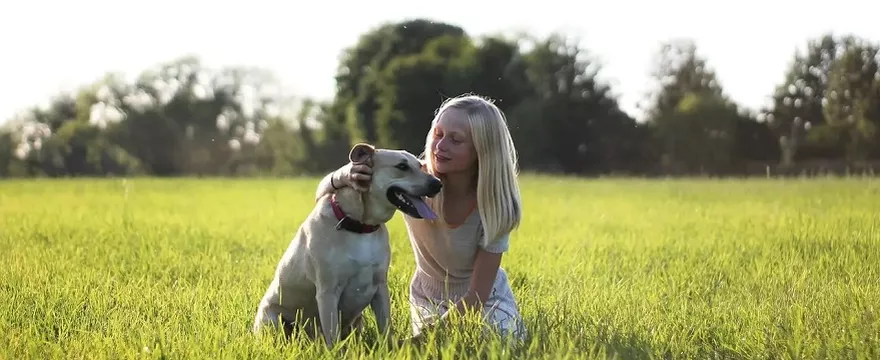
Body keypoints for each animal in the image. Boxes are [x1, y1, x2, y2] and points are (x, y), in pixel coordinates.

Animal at [253, 143, 444, 346]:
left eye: (420, 166)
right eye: (402, 166)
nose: (438, 184)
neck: (360, 226)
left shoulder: (380, 286)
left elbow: (385, 327)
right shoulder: (327, 291)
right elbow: (332, 335)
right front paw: (335, 350)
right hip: (273, 320)